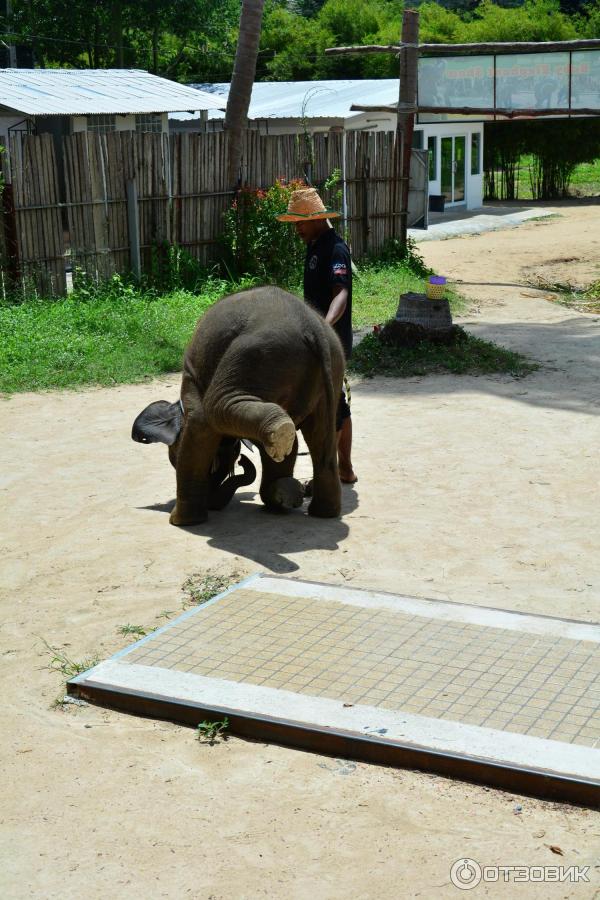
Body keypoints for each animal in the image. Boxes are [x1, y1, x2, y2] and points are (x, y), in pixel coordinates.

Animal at [133, 286, 344, 528]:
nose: (242, 462)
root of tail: (313, 327)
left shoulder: (192, 378)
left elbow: (199, 424)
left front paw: (180, 522)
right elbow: (288, 448)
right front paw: (279, 497)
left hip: (257, 355)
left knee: (216, 405)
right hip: (331, 367)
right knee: (321, 434)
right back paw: (320, 510)